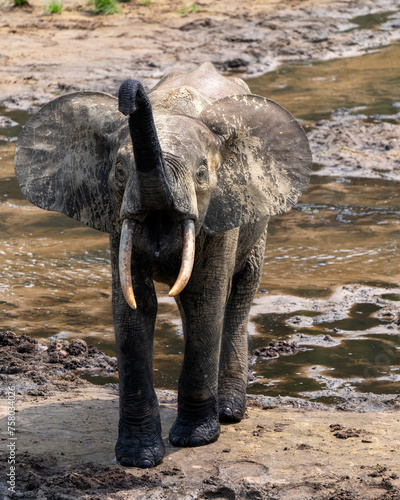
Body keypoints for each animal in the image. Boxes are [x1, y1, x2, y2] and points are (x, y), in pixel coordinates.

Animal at [13, 61, 312, 468]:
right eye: (119, 170)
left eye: (201, 173)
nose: (128, 96)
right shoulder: (117, 217)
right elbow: (134, 305)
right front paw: (138, 457)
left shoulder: (221, 211)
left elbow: (205, 299)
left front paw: (195, 440)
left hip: (257, 218)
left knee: (238, 295)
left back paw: (229, 413)